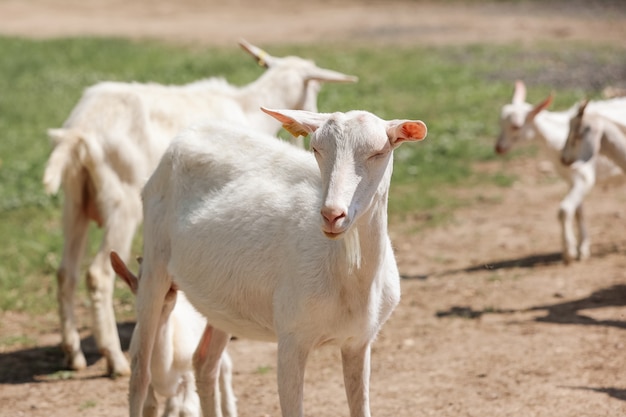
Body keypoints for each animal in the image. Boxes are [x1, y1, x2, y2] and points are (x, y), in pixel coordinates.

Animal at [41, 39, 356, 376]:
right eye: (316, 87)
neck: (247, 106)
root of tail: (80, 131)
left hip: (74, 200)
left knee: (65, 272)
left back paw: (73, 354)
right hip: (120, 202)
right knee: (98, 274)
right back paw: (114, 358)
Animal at [108, 252, 235, 416]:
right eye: (141, 277)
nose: (171, 287)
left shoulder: (188, 374)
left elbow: (188, 410)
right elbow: (150, 406)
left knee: (224, 365)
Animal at [130, 108, 426, 416]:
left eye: (379, 152)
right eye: (316, 149)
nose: (332, 215)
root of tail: (185, 135)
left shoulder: (358, 341)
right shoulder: (291, 337)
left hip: (222, 302)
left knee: (205, 364)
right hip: (154, 261)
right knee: (140, 372)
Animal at [494, 80, 620, 262]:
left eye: (516, 126)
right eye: (500, 122)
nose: (498, 148)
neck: (557, 138)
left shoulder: (584, 177)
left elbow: (564, 210)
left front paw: (569, 252)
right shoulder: (570, 179)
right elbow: (578, 212)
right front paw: (583, 248)